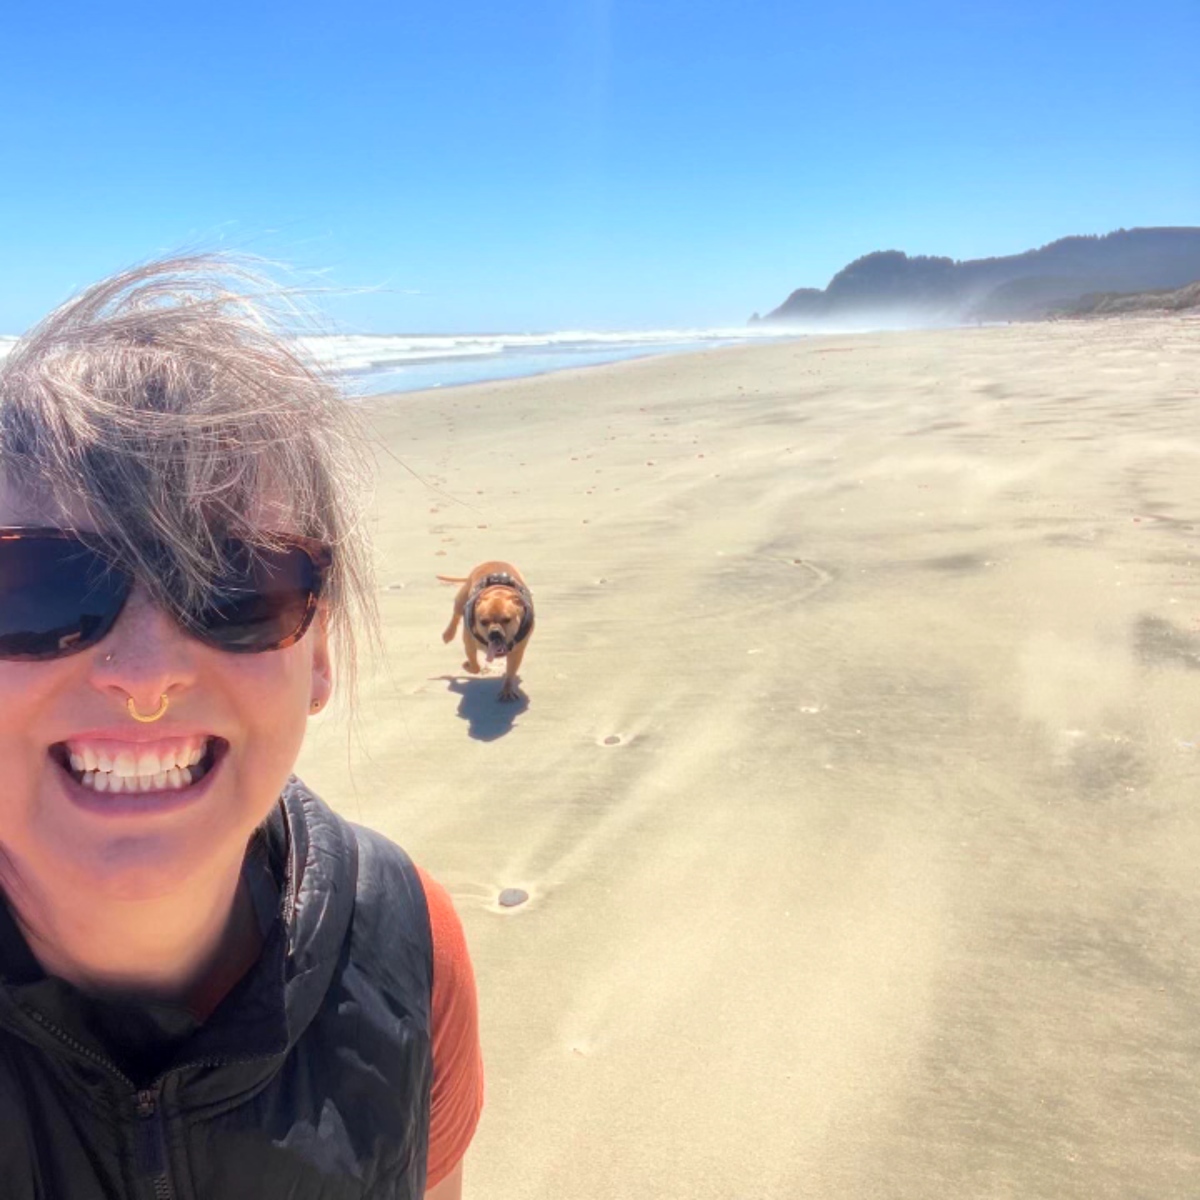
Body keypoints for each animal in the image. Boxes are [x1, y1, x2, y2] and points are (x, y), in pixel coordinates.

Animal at [436, 561, 535, 700]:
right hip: (460, 600)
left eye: (507, 619)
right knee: (456, 614)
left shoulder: (517, 653)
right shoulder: (469, 645)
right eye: (483, 622)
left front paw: (507, 690)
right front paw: (467, 666)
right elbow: (475, 666)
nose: (495, 632)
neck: (498, 590)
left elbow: (510, 672)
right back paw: (448, 634)